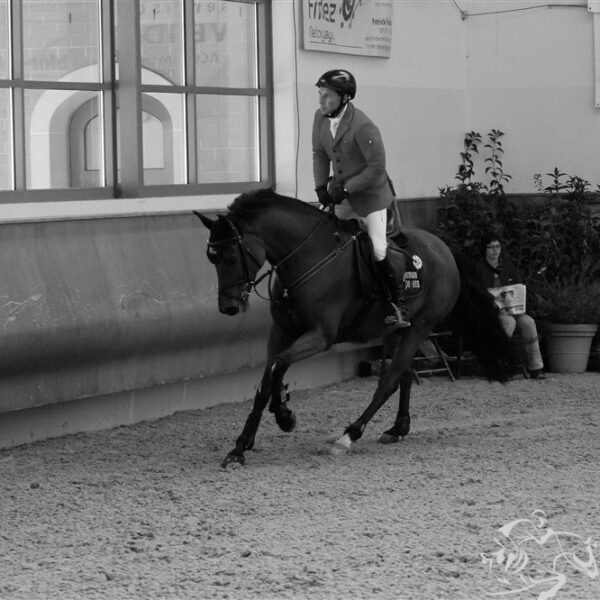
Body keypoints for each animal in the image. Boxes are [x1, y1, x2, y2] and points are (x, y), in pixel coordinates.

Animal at [196, 188, 510, 468]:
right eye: (212, 258)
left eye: (231, 257)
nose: (228, 307)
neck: (307, 255)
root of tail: (443, 247)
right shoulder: (281, 331)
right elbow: (265, 382)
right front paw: (240, 447)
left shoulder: (320, 336)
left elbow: (279, 365)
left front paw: (284, 414)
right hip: (396, 332)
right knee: (405, 375)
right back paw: (398, 428)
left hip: (421, 327)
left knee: (389, 380)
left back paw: (349, 435)